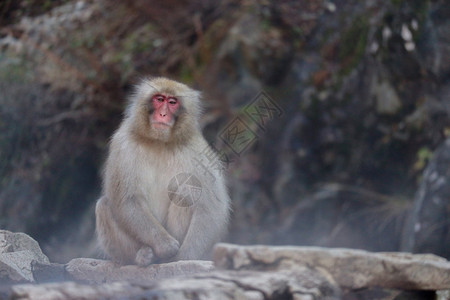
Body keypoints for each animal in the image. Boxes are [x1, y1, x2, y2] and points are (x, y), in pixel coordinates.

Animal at [93, 77, 230, 264]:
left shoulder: (196, 149)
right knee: (104, 206)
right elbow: (128, 200)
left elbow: (210, 207)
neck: (159, 142)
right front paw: (165, 246)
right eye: (159, 99)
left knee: (187, 192)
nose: (163, 114)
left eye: (172, 102)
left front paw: (186, 257)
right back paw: (142, 256)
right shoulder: (123, 143)